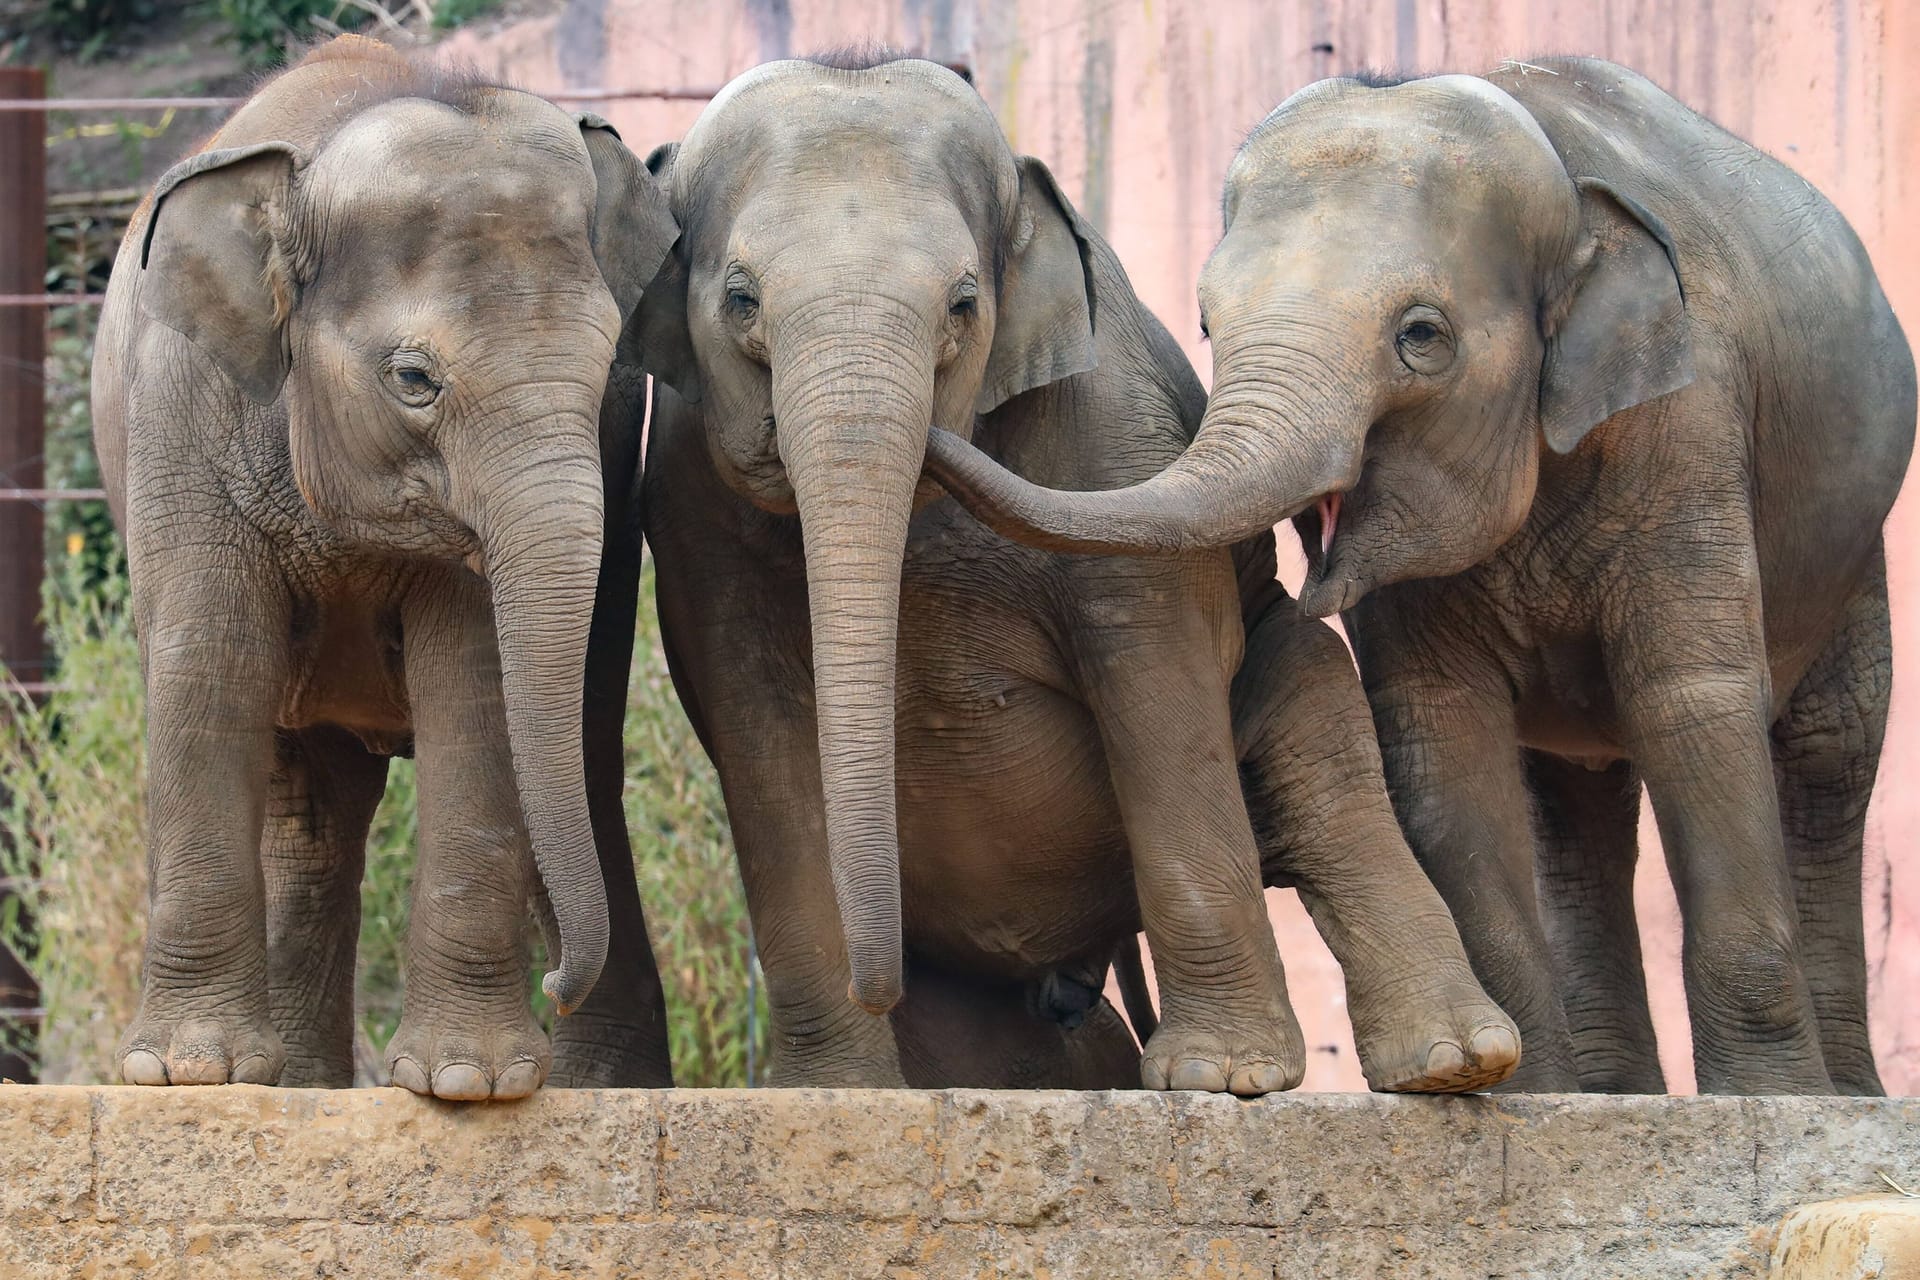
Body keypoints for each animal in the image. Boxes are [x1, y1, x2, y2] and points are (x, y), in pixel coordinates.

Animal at [95, 37, 683, 1105]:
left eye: (607, 371)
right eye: (414, 379)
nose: (555, 982)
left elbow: (477, 684)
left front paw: (469, 1084)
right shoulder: (179, 411)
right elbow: (212, 665)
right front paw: (186, 1075)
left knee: (578, 749)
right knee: (312, 814)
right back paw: (295, 1086)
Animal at [637, 47, 1520, 1090]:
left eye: (964, 305)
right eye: (740, 301)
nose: (875, 981)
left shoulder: (1115, 439)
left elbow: (1155, 675)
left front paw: (1223, 1078)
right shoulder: (688, 501)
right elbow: (757, 726)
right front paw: (839, 1096)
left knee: (1323, 741)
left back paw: (1453, 1063)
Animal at [925, 59, 1904, 1097]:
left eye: (1422, 336)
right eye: (1205, 323)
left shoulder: (1689, 425)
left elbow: (1692, 702)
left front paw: (1771, 1101)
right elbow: (1439, 735)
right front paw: (1518, 1096)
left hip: (1853, 547)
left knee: (1830, 748)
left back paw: (1845, 1093)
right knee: (1576, 797)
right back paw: (1611, 1093)